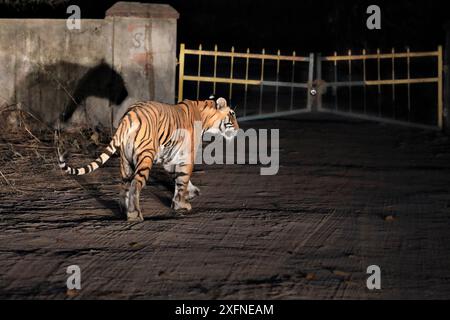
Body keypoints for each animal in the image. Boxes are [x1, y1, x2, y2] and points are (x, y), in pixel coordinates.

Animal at [58, 97, 241, 221]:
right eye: (232, 115)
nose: (239, 129)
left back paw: (124, 209)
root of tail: (128, 116)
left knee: (124, 184)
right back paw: (134, 214)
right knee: (135, 185)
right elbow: (182, 179)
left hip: (125, 160)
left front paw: (192, 192)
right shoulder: (185, 155)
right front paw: (181, 204)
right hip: (145, 156)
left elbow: (179, 178)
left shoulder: (170, 157)